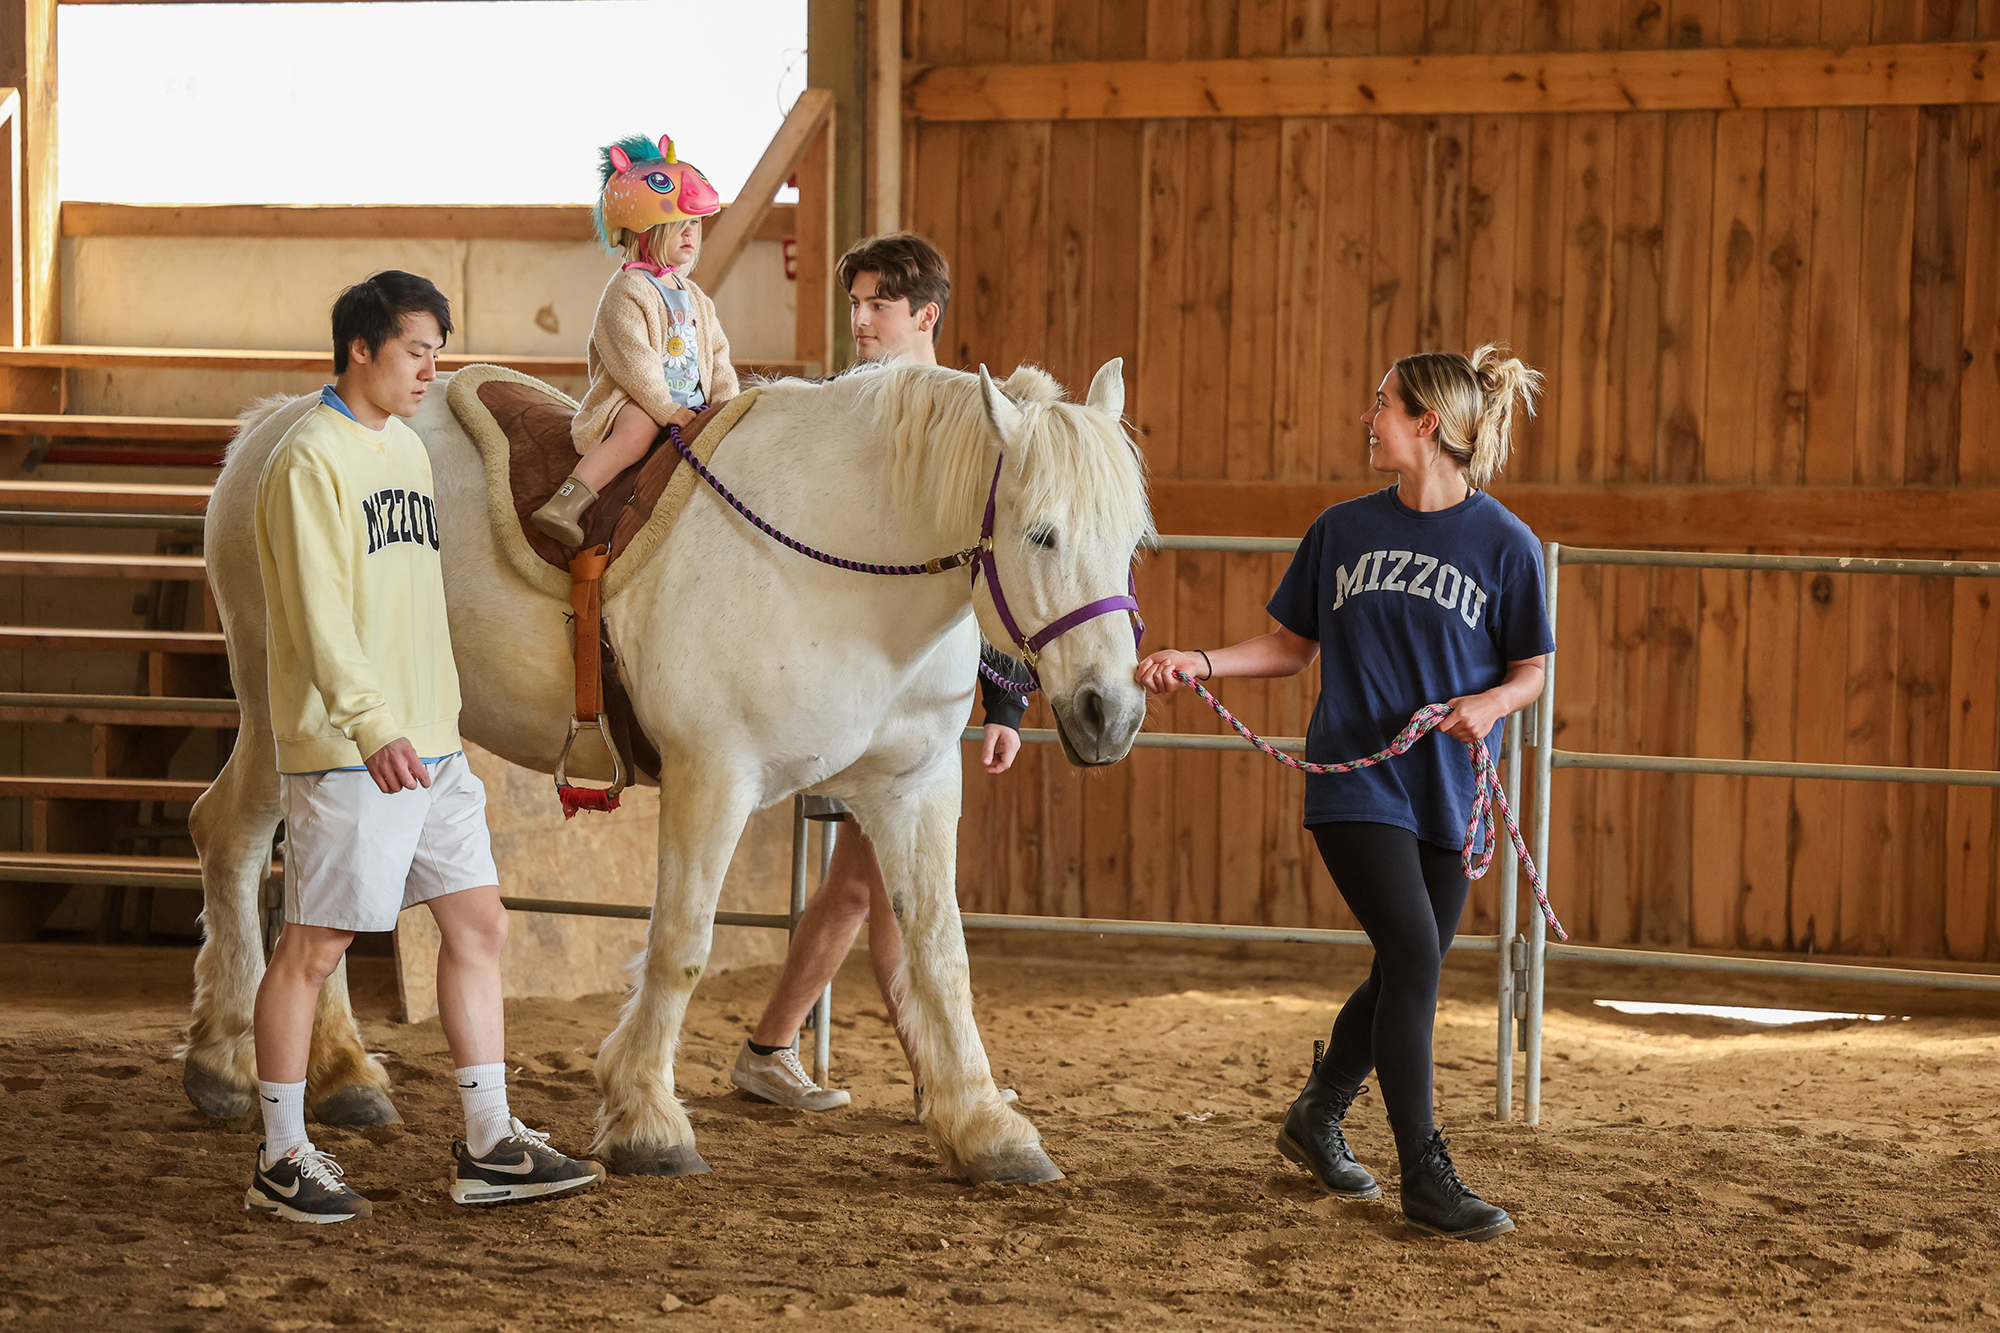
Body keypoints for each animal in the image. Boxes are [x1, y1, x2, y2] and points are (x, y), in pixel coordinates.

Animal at [188, 358, 1160, 1176]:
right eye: (1041, 534)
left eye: (1131, 541)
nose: (1109, 712)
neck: (840, 565)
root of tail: (275, 428)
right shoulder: (712, 776)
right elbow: (684, 942)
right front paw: (647, 1118)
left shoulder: (911, 788)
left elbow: (940, 950)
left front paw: (984, 1124)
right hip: (292, 723)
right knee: (230, 836)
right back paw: (231, 1061)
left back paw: (342, 1071)